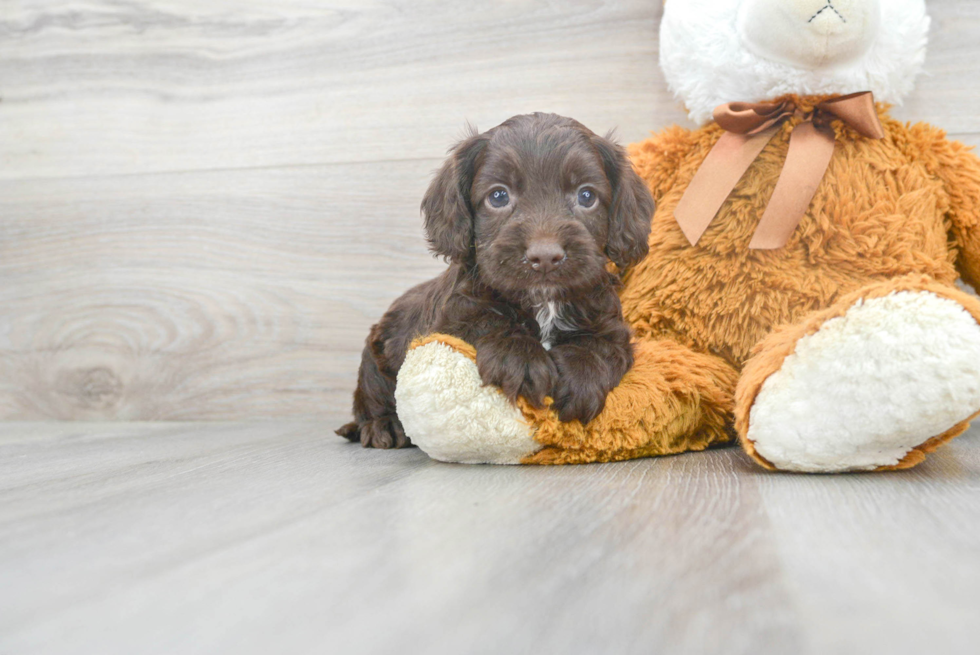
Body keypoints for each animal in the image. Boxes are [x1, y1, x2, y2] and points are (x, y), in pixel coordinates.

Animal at [340, 114, 656, 452]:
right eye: (498, 196)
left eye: (587, 196)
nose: (545, 257)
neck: (544, 302)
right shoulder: (452, 319)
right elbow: (486, 321)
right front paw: (520, 357)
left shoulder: (610, 324)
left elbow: (599, 345)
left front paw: (580, 376)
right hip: (375, 358)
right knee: (372, 397)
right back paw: (384, 425)